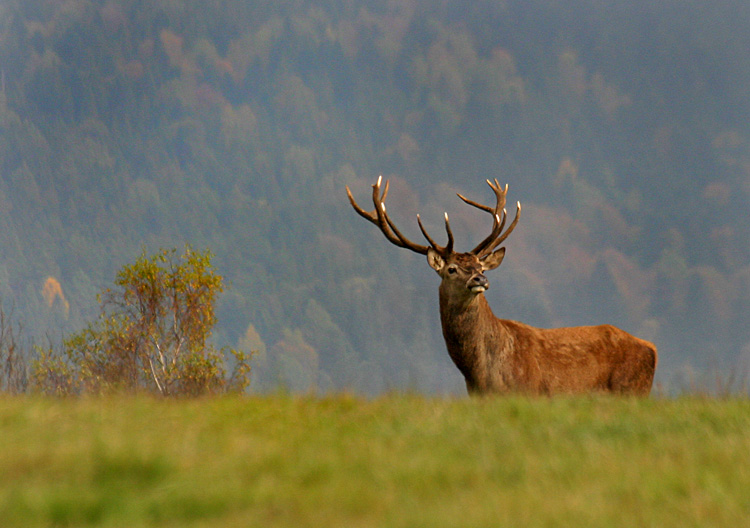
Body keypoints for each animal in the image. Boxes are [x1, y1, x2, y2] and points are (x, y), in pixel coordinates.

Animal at [346, 177, 656, 396]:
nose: (480, 280)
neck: (481, 376)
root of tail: (651, 349)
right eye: (451, 269)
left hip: (631, 390)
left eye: (480, 267)